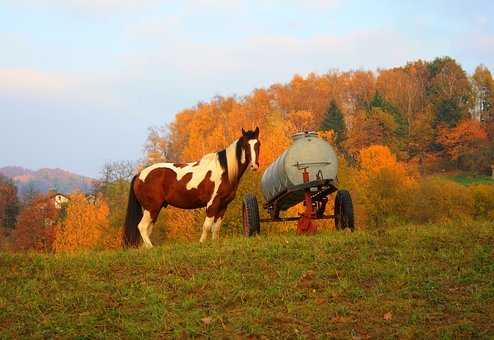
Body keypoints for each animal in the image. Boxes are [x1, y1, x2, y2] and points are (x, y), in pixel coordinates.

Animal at [123, 127, 260, 247]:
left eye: (258, 144)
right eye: (246, 145)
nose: (254, 166)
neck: (224, 171)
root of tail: (139, 174)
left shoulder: (223, 205)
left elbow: (216, 228)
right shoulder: (212, 204)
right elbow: (207, 226)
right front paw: (202, 243)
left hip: (154, 209)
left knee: (147, 229)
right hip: (151, 208)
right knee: (142, 227)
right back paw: (151, 247)